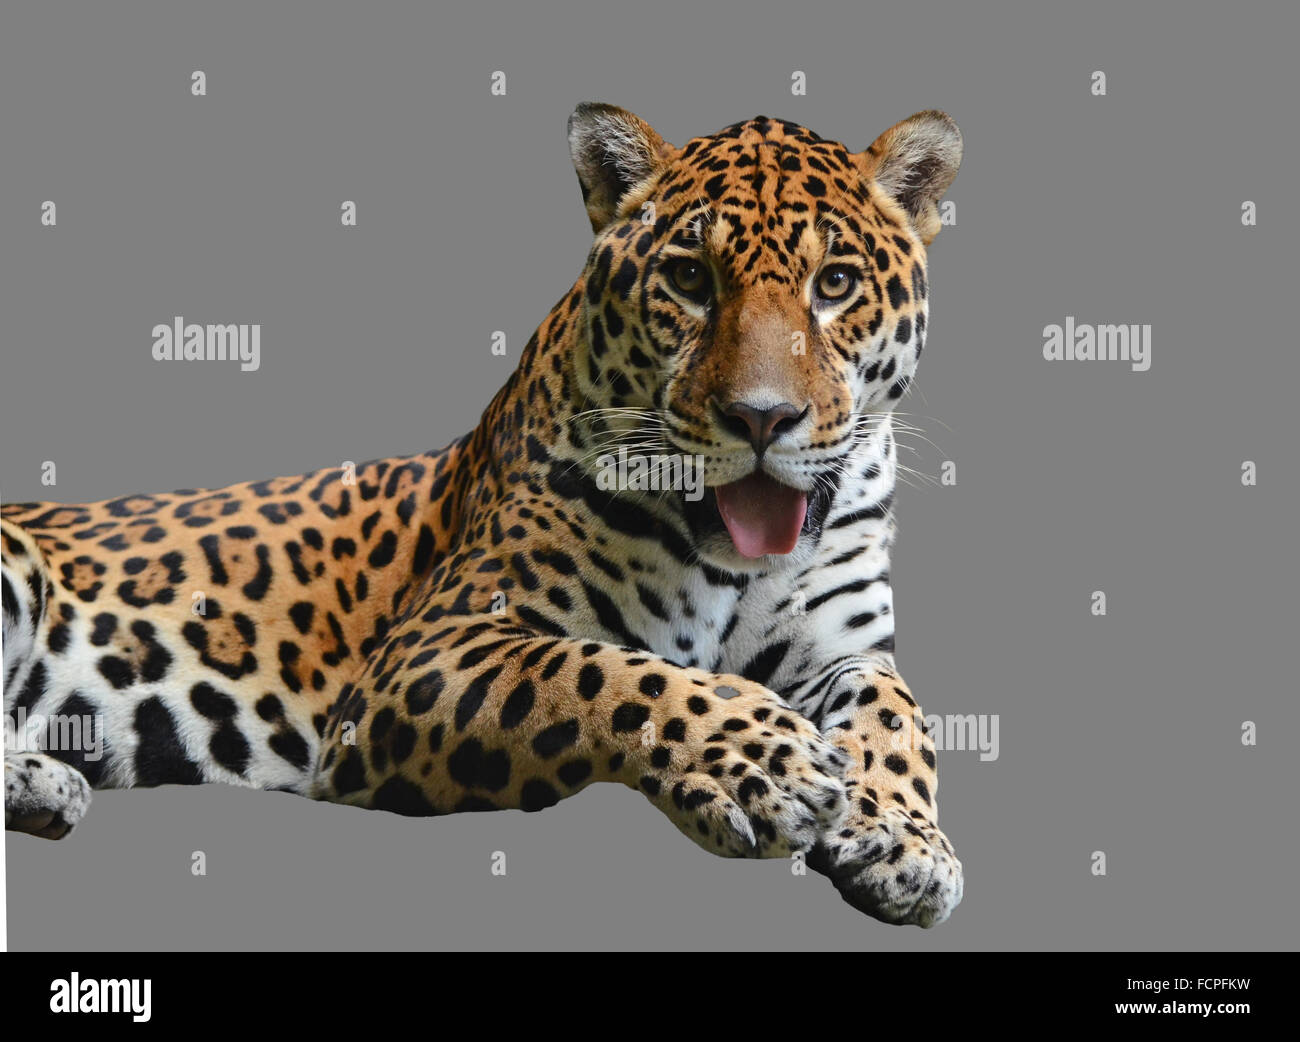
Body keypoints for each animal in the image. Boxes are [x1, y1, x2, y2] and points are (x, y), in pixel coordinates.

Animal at [2, 104, 963, 926]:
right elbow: (604, 673)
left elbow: (898, 709)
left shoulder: (843, 648)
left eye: (835, 284)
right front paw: (767, 763)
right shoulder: (430, 652)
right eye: (690, 279)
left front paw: (903, 842)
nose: (762, 418)